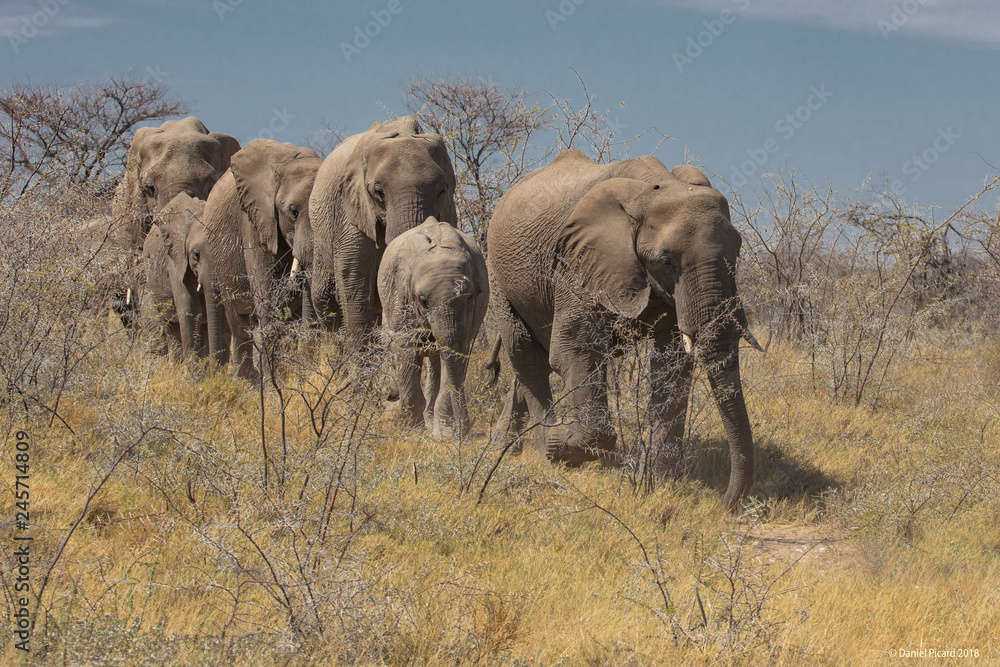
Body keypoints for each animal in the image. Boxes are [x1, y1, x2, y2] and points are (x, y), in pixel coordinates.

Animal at [202, 139, 322, 378]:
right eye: (293, 212)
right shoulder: (255, 221)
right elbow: (268, 298)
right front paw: (271, 382)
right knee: (238, 322)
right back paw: (243, 380)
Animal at [377, 217, 489, 437]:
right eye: (423, 301)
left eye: (469, 297)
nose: (465, 428)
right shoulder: (400, 295)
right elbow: (406, 349)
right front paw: (411, 428)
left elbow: (456, 352)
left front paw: (445, 433)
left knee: (437, 362)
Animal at [485, 149, 762, 512]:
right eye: (666, 262)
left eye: (738, 252)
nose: (726, 505)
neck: (653, 189)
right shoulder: (577, 262)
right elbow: (574, 350)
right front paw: (561, 444)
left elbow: (672, 364)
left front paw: (658, 482)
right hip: (497, 272)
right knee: (525, 352)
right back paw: (544, 447)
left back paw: (507, 445)